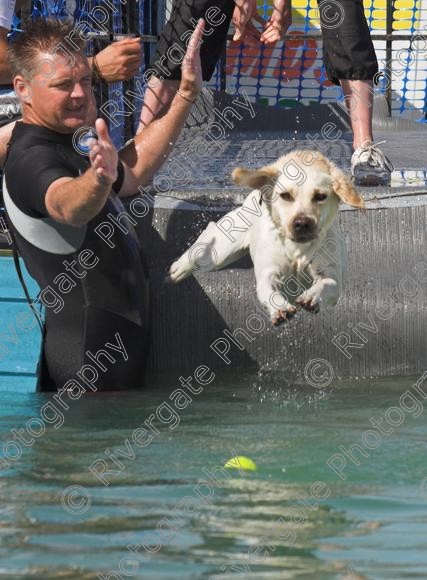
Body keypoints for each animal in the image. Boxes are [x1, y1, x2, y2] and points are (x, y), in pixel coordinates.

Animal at [169, 151, 362, 326]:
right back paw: (179, 268)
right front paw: (280, 308)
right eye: (285, 195)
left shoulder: (331, 275)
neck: (297, 250)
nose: (302, 223)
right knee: (209, 233)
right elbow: (268, 290)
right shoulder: (268, 273)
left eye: (320, 196)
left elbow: (327, 283)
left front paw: (311, 297)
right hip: (221, 252)